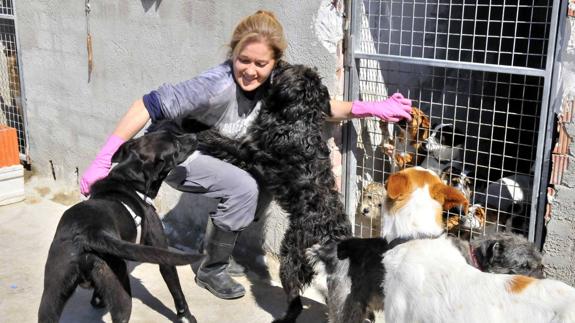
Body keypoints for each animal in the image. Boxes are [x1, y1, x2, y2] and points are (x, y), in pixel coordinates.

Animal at [37, 125, 202, 323]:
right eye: (176, 145)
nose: (195, 135)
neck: (130, 179)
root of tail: (86, 235)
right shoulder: (164, 255)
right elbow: (176, 290)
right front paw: (186, 316)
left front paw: (98, 299)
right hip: (120, 291)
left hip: (51, 295)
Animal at [196, 62, 354, 323]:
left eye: (290, 68)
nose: (279, 63)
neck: (296, 117)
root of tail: (332, 236)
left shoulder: (249, 149)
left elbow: (224, 142)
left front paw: (202, 134)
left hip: (290, 257)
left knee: (295, 300)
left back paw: (284, 317)